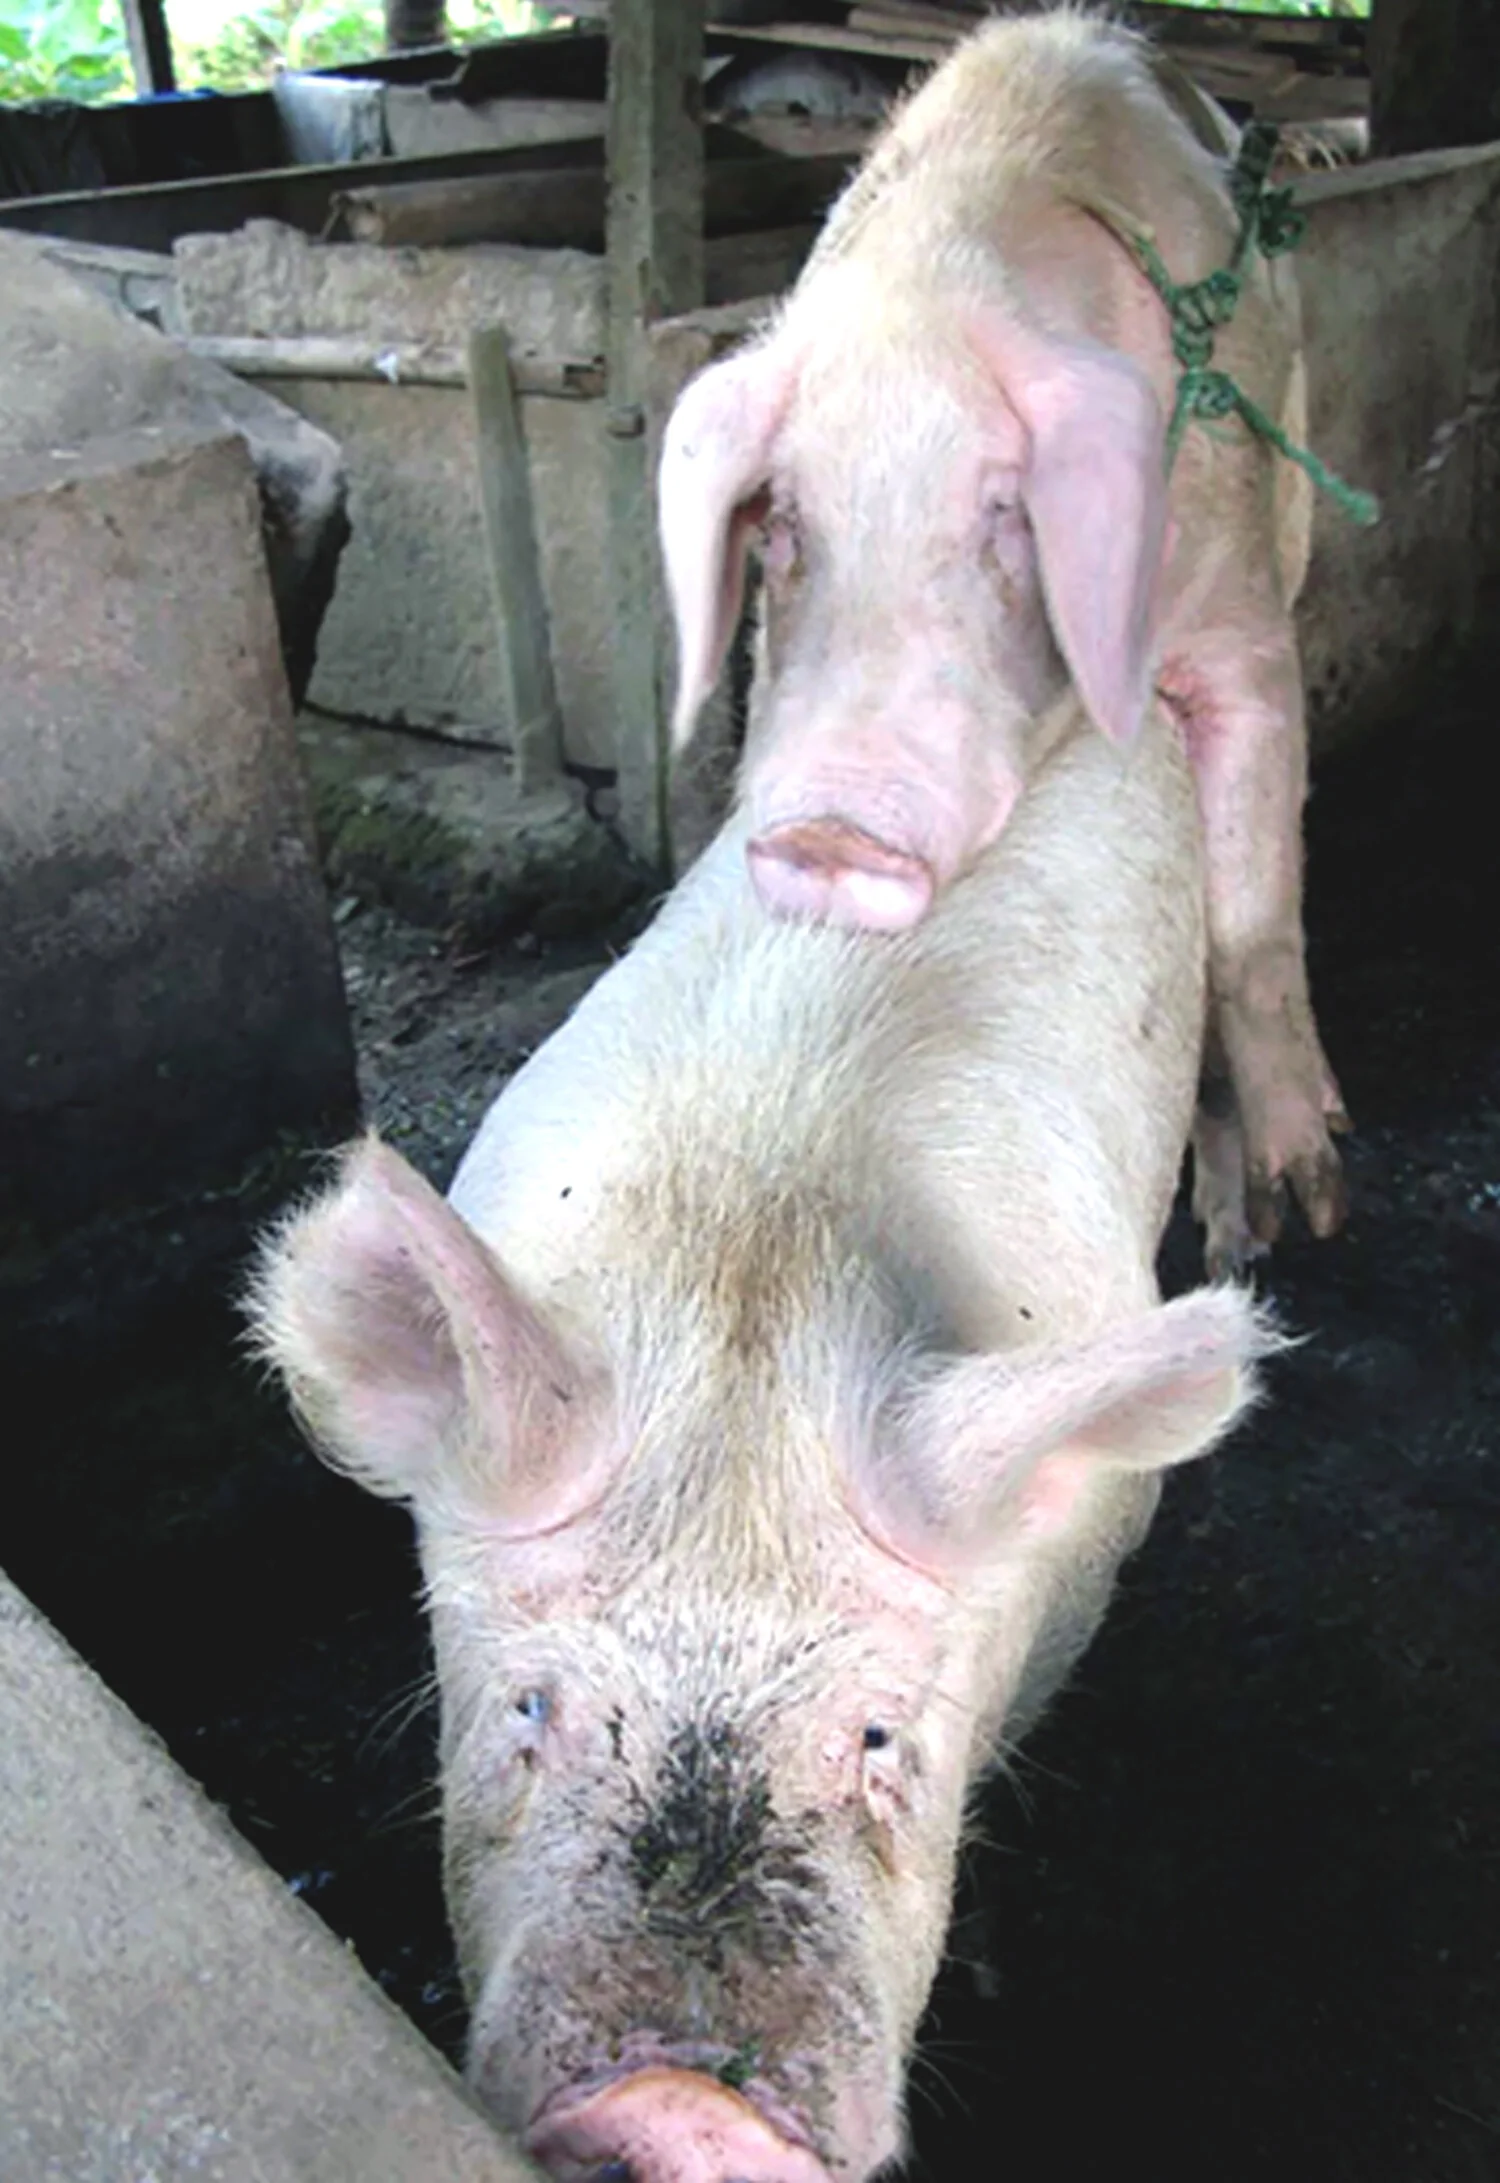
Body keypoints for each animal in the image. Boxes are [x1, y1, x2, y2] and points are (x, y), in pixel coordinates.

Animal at [658, 7, 1347, 1276]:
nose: (829, 832)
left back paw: (1247, 1245)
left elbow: (1250, 917)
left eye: (1003, 514)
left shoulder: (1244, 614)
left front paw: (1315, 1199)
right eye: (781, 524)